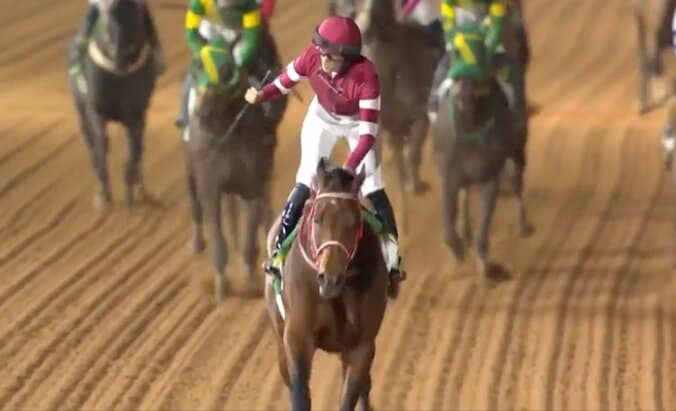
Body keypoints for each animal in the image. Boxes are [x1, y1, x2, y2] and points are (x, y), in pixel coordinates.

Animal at [69, 0, 157, 210]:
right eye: (106, 18)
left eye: (136, 20)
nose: (120, 62)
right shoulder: (96, 112)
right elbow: (101, 147)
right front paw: (103, 198)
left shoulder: (135, 115)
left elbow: (132, 153)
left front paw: (131, 200)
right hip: (82, 112)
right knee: (91, 145)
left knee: (138, 149)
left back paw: (141, 190)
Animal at [182, 34, 287, 301]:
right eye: (198, 66)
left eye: (227, 71)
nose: (203, 112)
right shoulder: (210, 183)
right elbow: (218, 236)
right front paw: (221, 285)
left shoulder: (253, 182)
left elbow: (251, 231)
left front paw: (250, 277)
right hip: (191, 169)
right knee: (195, 204)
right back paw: (197, 242)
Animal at [264, 158, 389, 411]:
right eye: (317, 218)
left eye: (354, 222)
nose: (330, 278)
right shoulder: (297, 337)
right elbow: (300, 394)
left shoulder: (361, 345)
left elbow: (349, 397)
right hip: (279, 335)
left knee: (364, 386)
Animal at [433, 22, 533, 285]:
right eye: (457, 52)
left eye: (481, 54)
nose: (466, 95)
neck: (469, 128)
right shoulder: (449, 176)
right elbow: (447, 229)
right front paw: (459, 254)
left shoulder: (489, 176)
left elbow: (485, 226)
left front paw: (486, 269)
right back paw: (465, 230)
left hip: (517, 147)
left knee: (517, 181)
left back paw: (524, 225)